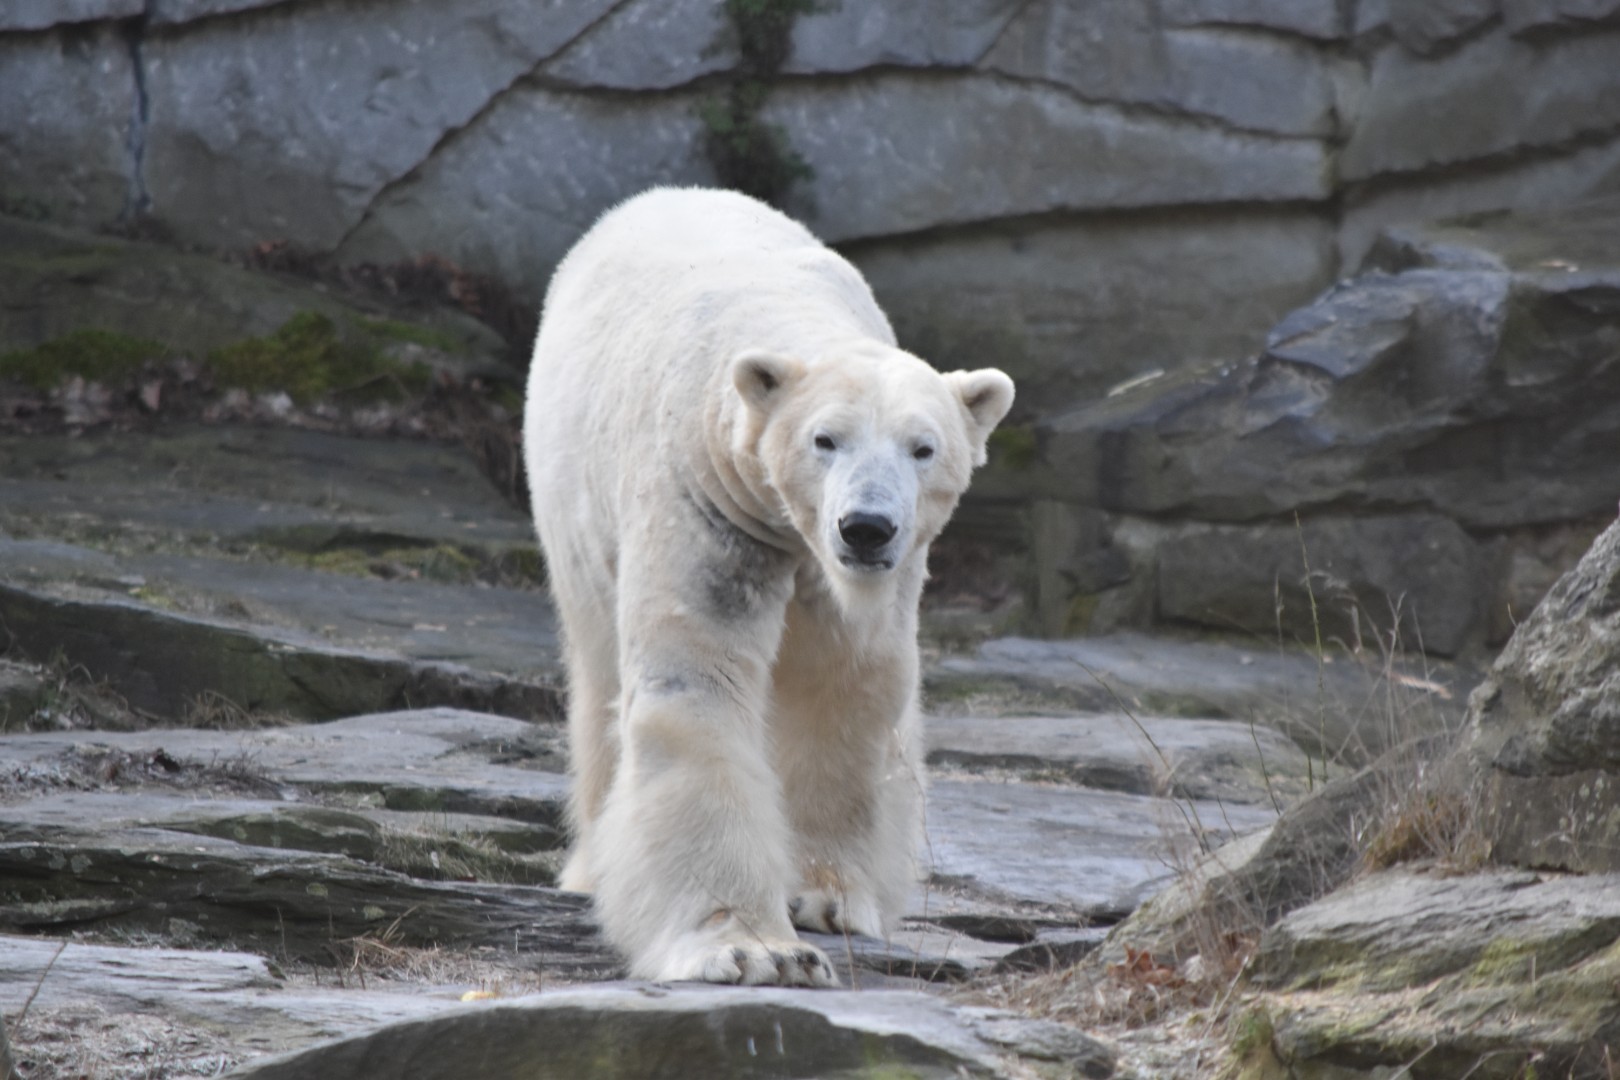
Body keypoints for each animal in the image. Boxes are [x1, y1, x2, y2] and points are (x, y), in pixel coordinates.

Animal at [523, 187, 1014, 986]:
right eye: (825, 439)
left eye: (923, 447)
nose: (867, 528)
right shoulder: (705, 497)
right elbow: (696, 680)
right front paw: (756, 950)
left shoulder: (854, 573)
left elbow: (845, 683)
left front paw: (827, 898)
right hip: (570, 501)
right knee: (597, 673)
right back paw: (591, 867)